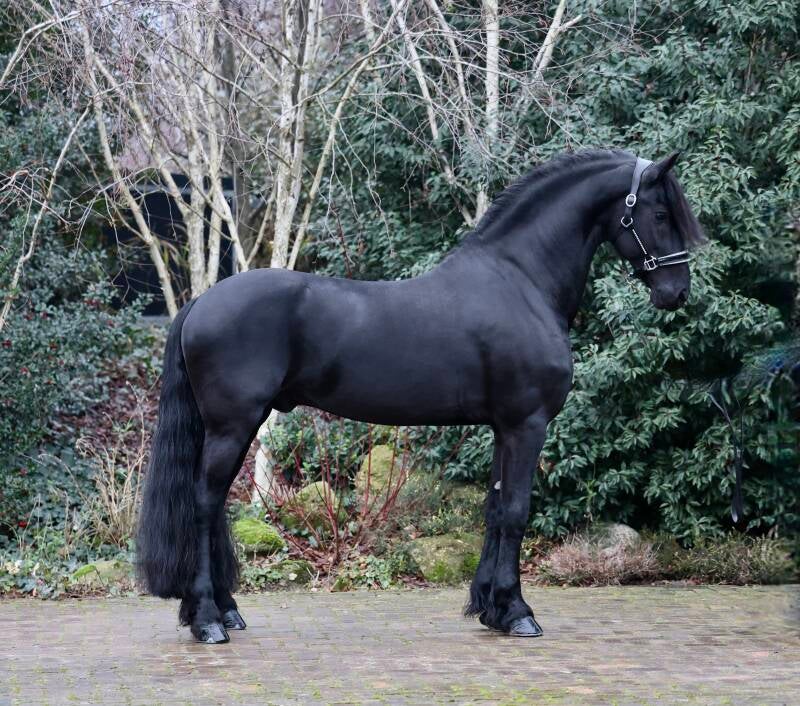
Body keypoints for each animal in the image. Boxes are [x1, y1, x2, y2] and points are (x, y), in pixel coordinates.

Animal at [137, 148, 704, 644]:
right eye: (659, 212)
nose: (676, 292)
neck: (521, 281)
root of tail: (201, 303)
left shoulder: (504, 428)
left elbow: (495, 508)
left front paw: (490, 609)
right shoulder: (528, 423)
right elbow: (517, 510)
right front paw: (518, 612)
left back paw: (222, 611)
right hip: (234, 425)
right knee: (205, 504)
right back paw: (208, 620)